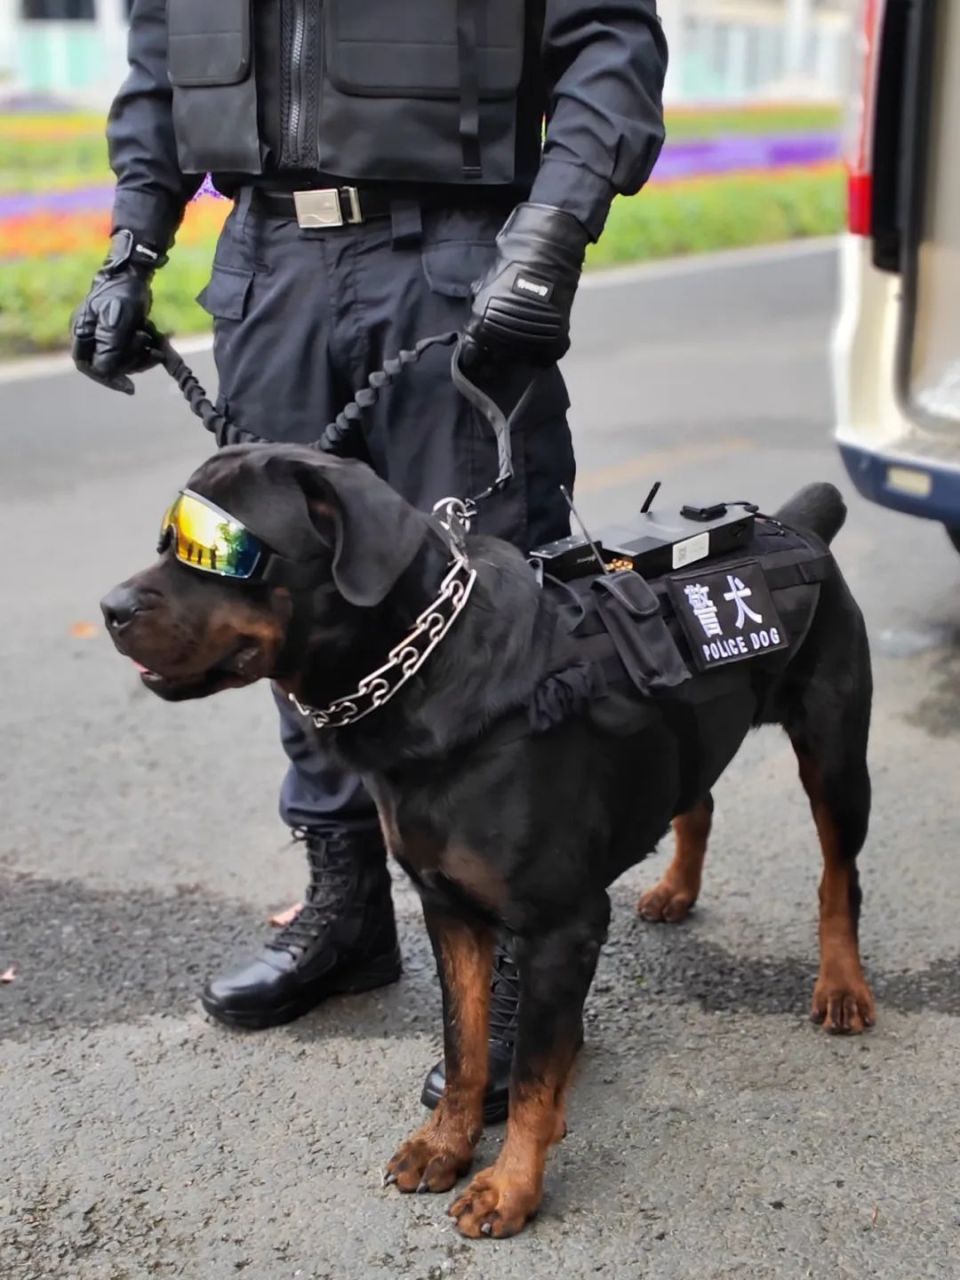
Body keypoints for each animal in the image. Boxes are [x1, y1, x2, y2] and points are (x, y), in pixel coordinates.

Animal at [101, 445, 875, 1233]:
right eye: (169, 542)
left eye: (220, 551)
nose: (111, 609)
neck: (426, 672)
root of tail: (796, 523)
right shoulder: (448, 908)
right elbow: (463, 1043)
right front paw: (444, 1144)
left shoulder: (562, 924)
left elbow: (531, 1073)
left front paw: (510, 1187)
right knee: (699, 795)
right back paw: (676, 890)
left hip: (836, 753)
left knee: (839, 874)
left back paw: (842, 986)